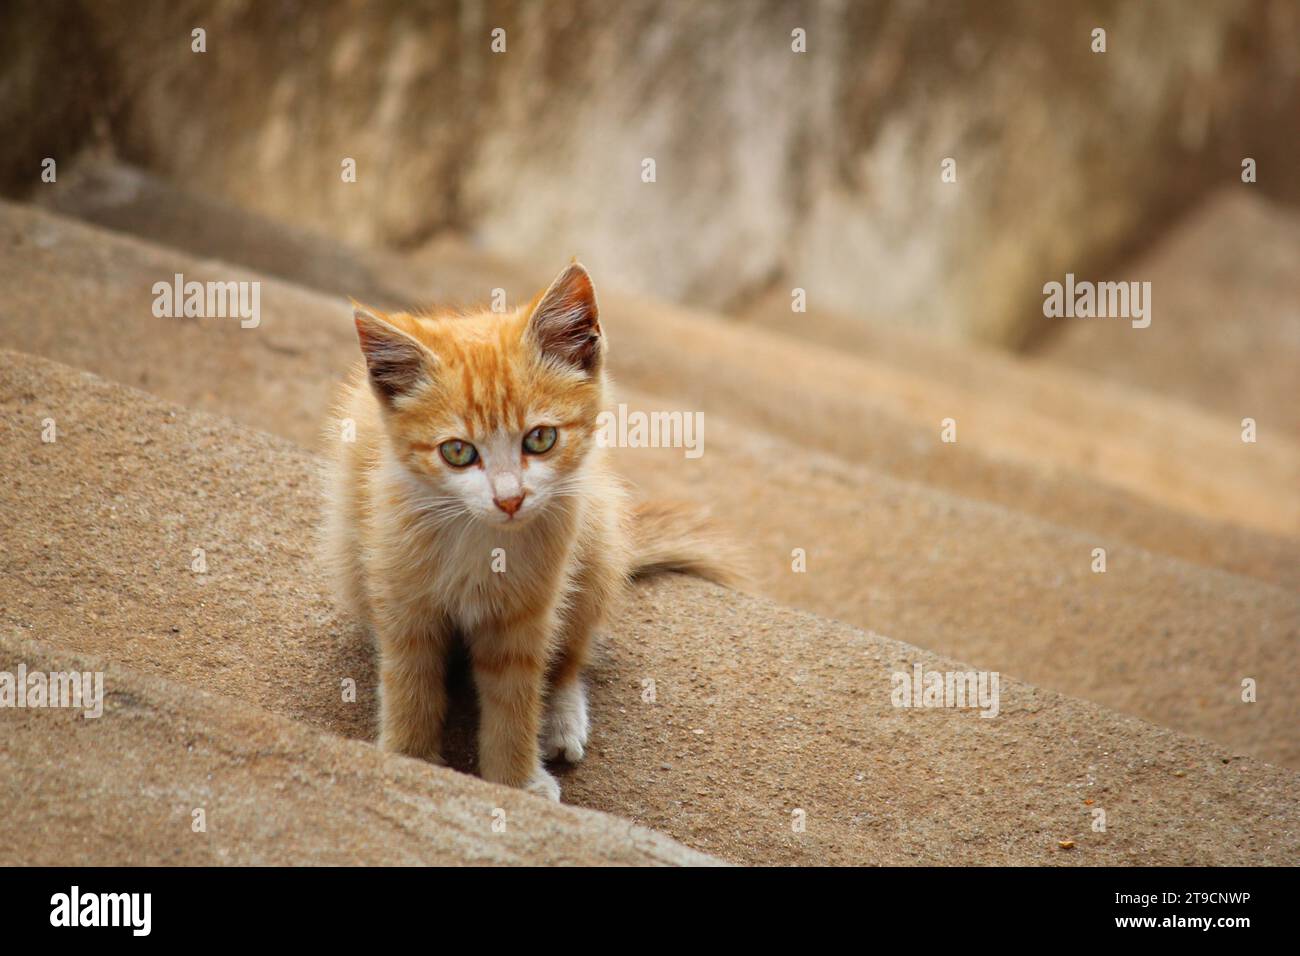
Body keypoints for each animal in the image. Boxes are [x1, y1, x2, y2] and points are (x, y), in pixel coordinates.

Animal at [321, 260, 738, 801]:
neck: (481, 537)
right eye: (457, 452)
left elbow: (517, 694)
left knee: (570, 658)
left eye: (540, 439)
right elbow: (410, 680)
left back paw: (561, 718)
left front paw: (515, 780)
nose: (510, 499)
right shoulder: (402, 593)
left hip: (595, 538)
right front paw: (408, 757)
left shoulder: (529, 609)